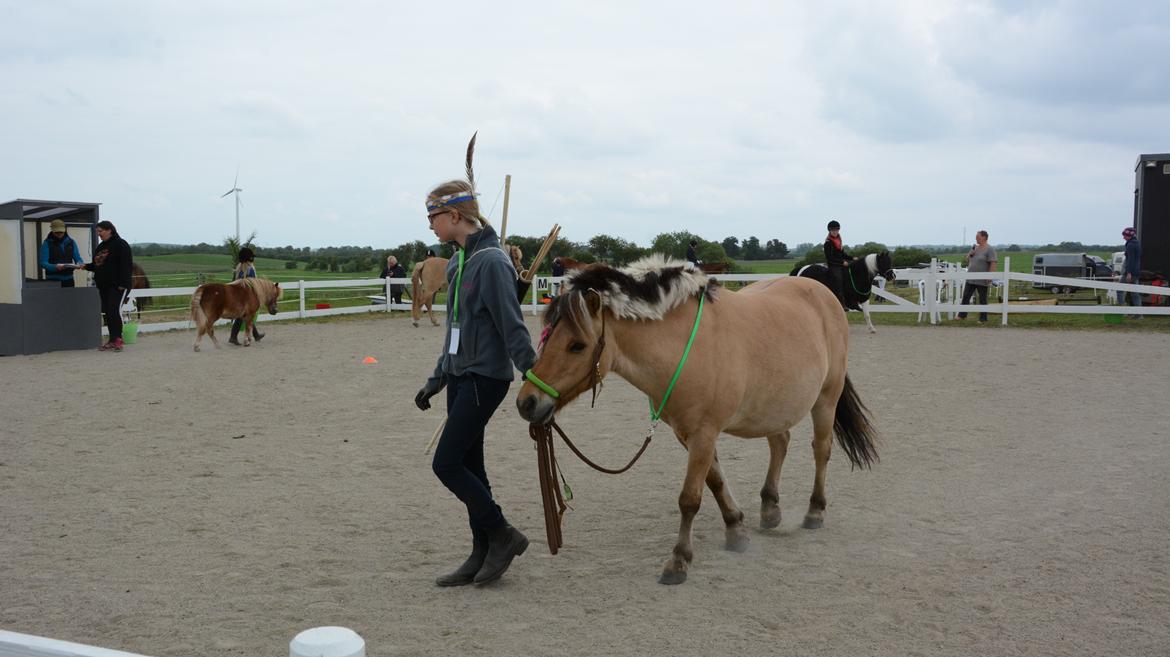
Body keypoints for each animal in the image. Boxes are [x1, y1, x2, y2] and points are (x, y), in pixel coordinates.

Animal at [514, 254, 879, 582]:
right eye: (547, 334)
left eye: (576, 345)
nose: (527, 402)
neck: (683, 347)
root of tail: (821, 292)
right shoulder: (690, 434)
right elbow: (715, 482)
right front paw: (736, 530)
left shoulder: (704, 432)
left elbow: (690, 498)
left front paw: (679, 560)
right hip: (775, 406)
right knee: (780, 443)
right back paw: (770, 508)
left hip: (826, 397)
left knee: (821, 449)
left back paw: (815, 510)